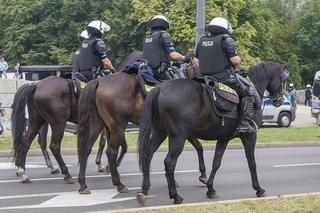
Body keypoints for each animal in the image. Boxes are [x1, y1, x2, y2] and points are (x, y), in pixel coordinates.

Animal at [136, 61, 286, 205]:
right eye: (282, 78)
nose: (280, 99)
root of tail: (160, 88)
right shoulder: (249, 136)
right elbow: (252, 163)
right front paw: (258, 189)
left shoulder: (223, 138)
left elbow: (216, 163)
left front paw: (210, 188)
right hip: (178, 137)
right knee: (169, 163)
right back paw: (175, 196)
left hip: (160, 133)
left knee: (148, 155)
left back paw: (144, 190)